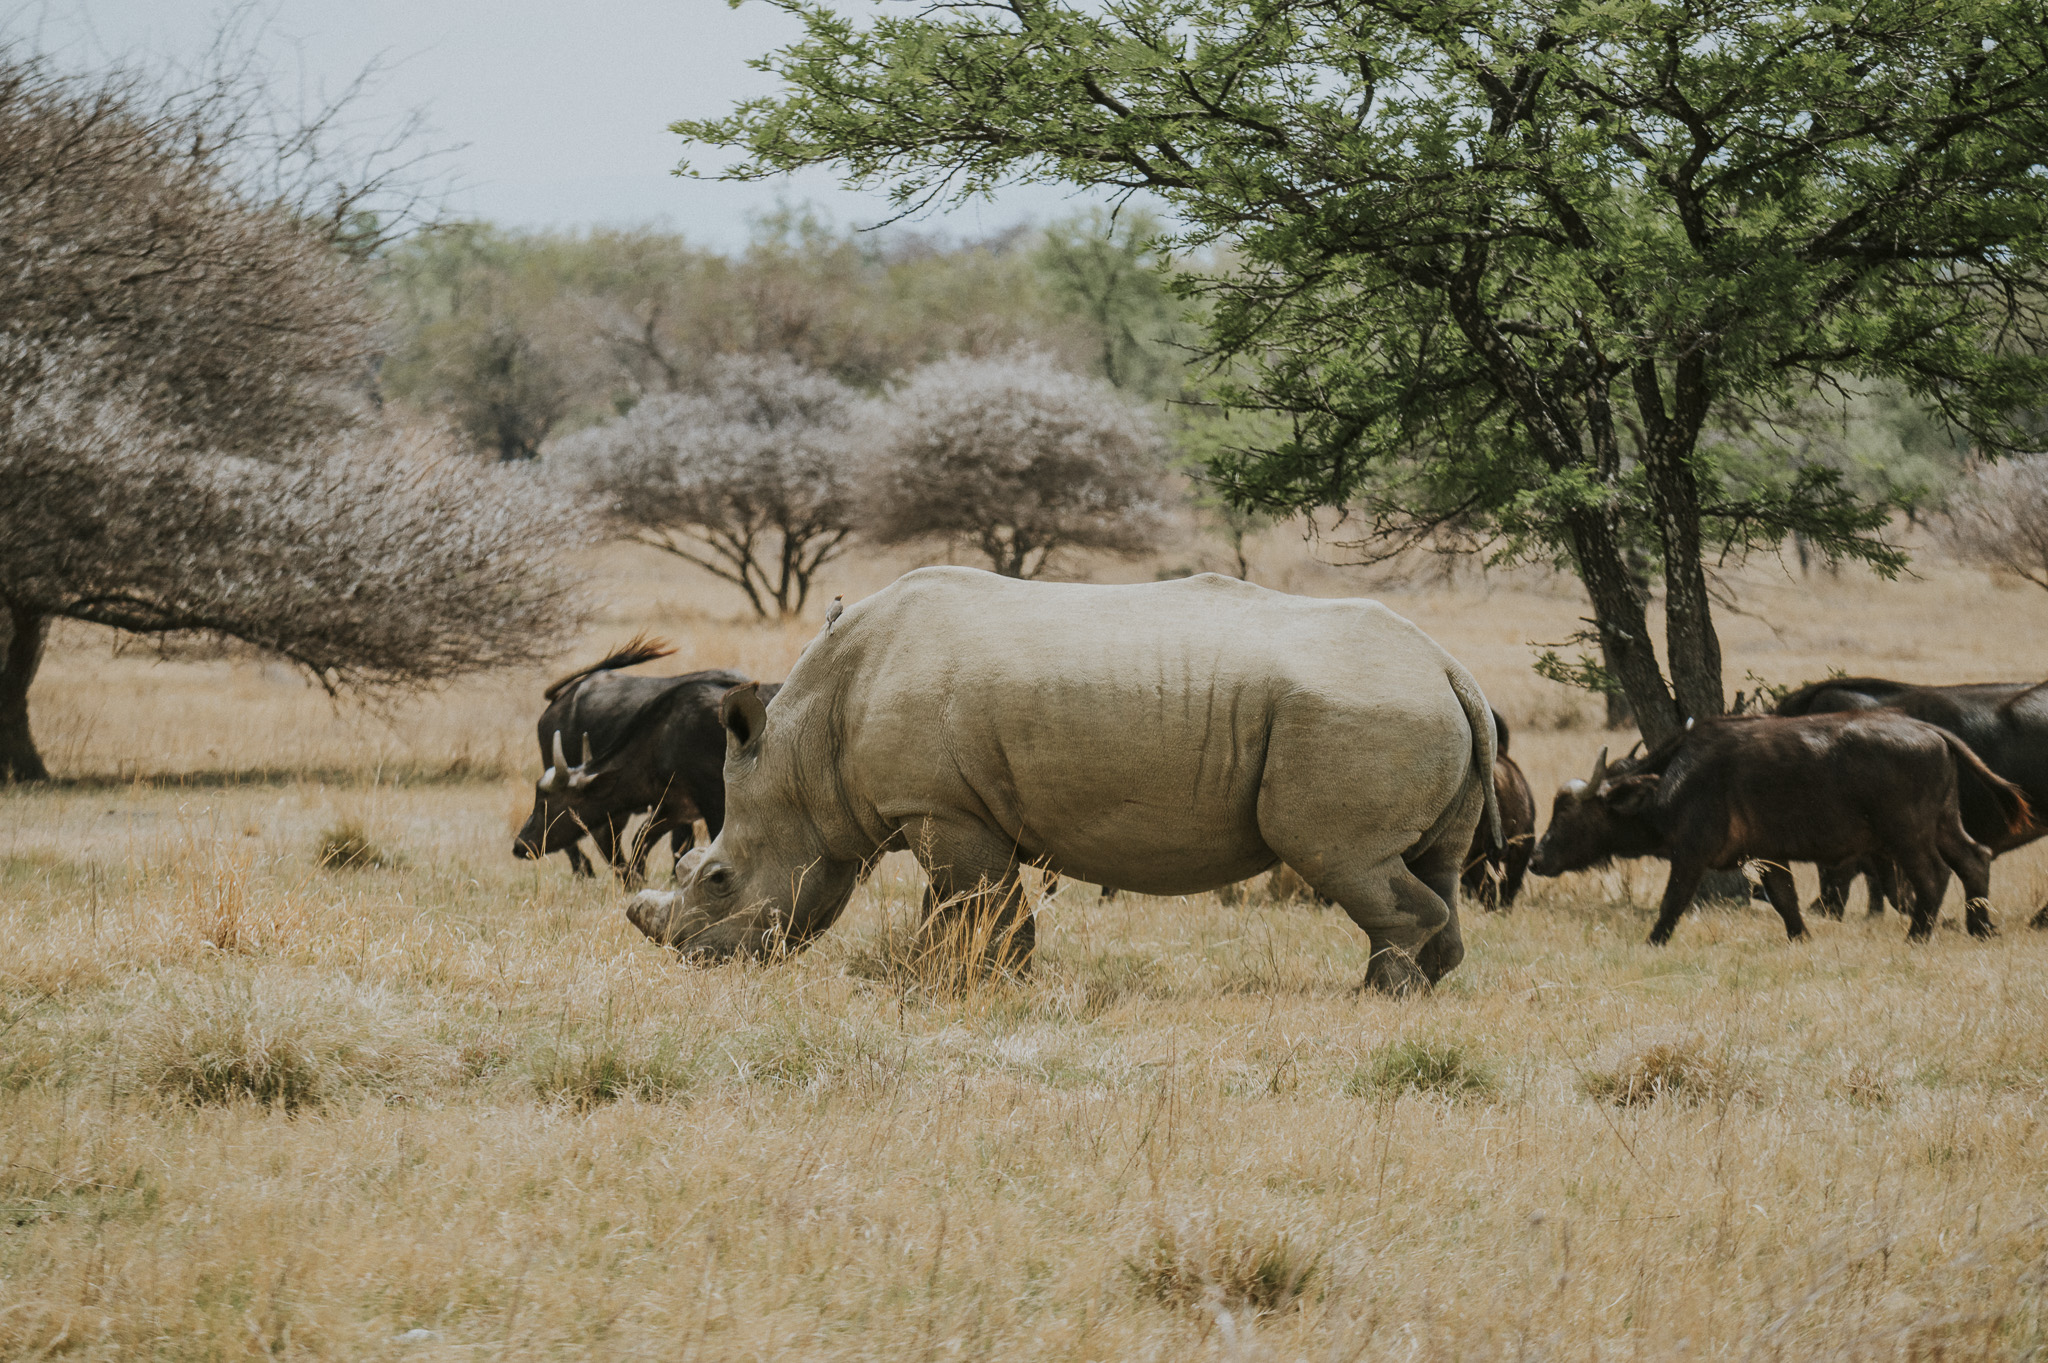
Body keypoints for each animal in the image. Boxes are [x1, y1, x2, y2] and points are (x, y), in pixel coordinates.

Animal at [626, 568, 1500, 993]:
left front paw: (960, 982)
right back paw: (1427, 981)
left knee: (1341, 856)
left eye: (716, 878)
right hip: (1423, 708)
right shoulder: (960, 809)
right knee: (1432, 863)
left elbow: (971, 903)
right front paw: (966, 977)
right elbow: (973, 906)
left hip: (1363, 709)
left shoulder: (939, 807)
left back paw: (1379, 992)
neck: (808, 747)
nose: (695, 959)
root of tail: (1450, 666)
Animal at [1529, 712, 2033, 945]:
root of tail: (1930, 731)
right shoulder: (1769, 854)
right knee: (1974, 858)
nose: (1536, 859)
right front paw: (1801, 938)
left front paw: (1653, 941)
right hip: (1944, 823)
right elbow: (1786, 900)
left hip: (1907, 835)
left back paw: (1917, 936)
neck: (1673, 779)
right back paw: (1980, 927)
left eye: (1567, 813)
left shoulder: (1691, 854)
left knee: (1934, 875)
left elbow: (1672, 903)